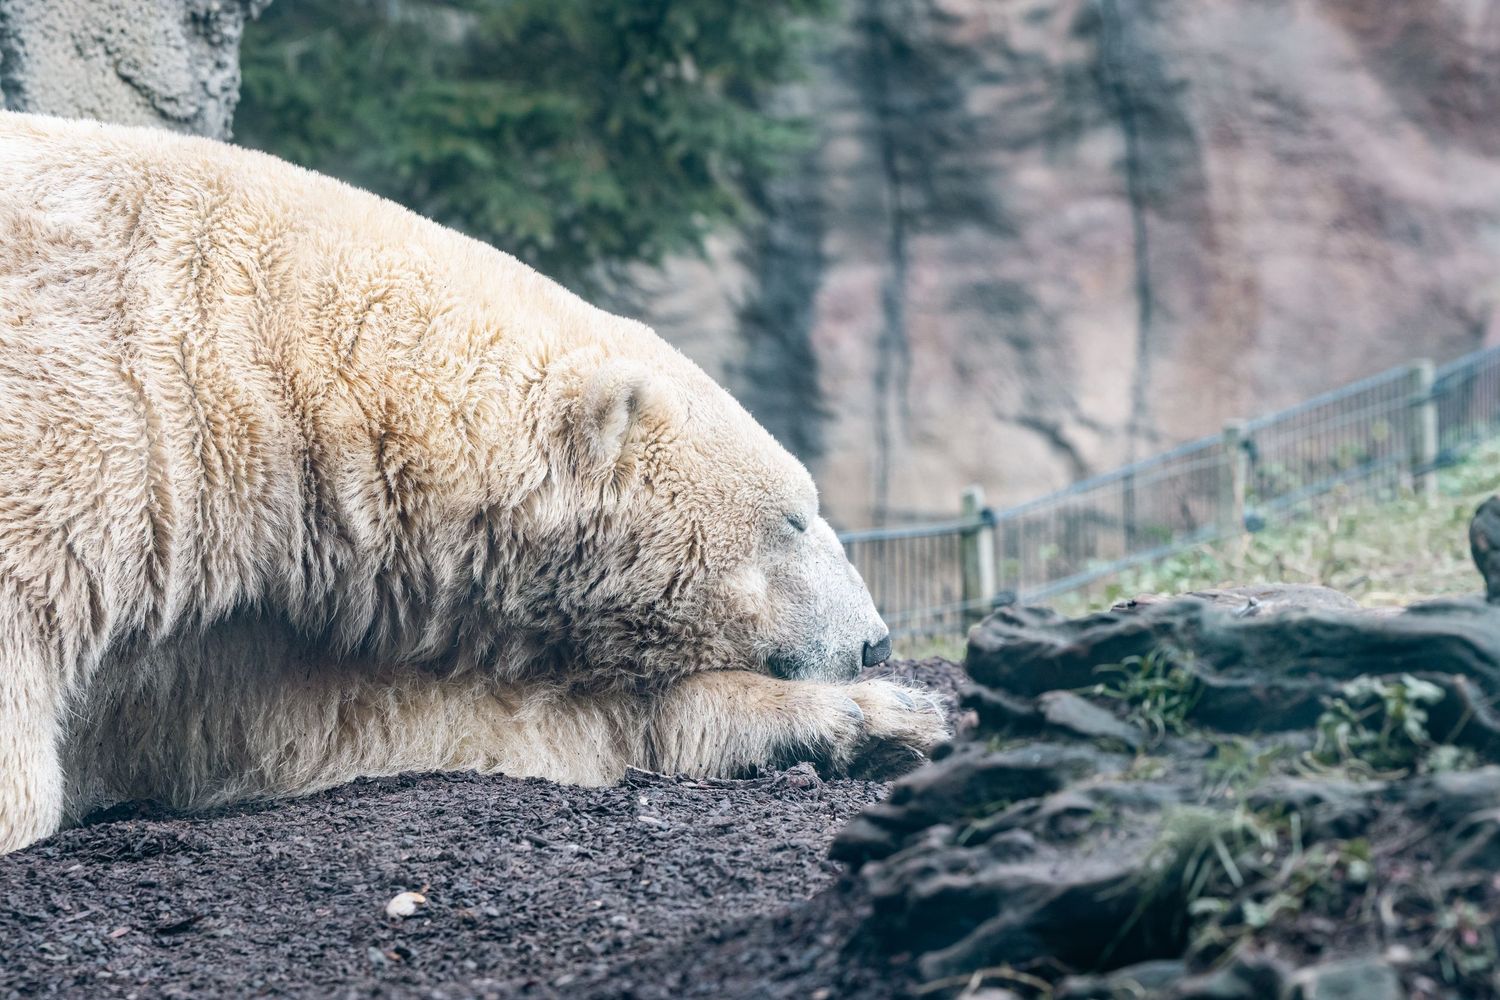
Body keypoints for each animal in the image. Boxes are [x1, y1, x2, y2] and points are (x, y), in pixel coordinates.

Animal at [0, 111, 949, 854]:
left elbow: (337, 722)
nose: (876, 642)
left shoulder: (233, 594)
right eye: (794, 517)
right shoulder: (83, 444)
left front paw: (883, 719)